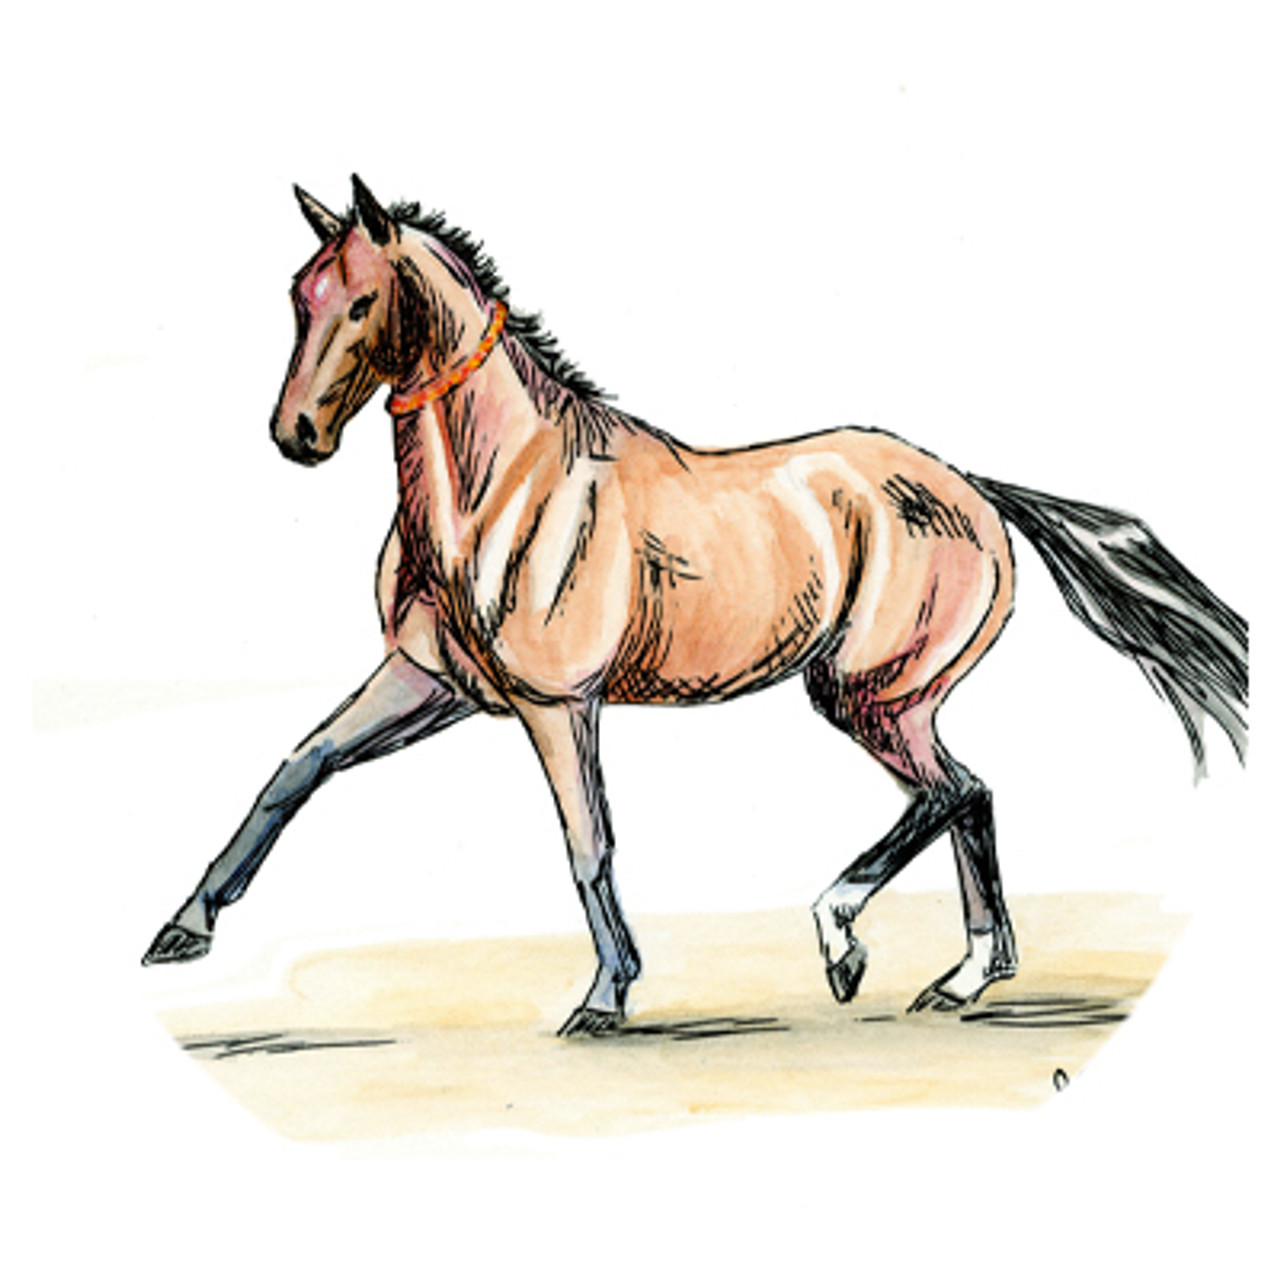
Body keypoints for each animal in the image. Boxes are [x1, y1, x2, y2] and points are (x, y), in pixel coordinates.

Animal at [143, 175, 1248, 1036]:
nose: (295, 433)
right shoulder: (430, 682)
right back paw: (962, 977)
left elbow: (586, 843)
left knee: (951, 792)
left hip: (867, 694)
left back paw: (846, 946)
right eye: (301, 293)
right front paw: (182, 929)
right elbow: (296, 768)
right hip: (893, 702)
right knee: (967, 795)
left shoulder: (558, 705)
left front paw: (605, 995)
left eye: (365, 300)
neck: (497, 489)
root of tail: (974, 488)